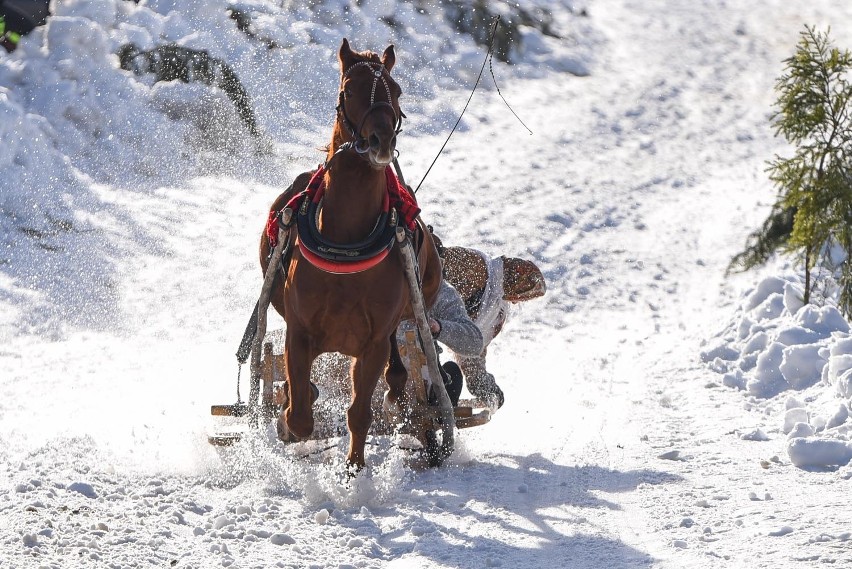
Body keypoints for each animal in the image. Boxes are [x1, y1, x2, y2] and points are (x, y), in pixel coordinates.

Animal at [258, 37, 446, 468]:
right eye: (348, 90)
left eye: (396, 91)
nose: (382, 141)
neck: (345, 241)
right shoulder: (299, 331)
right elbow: (300, 415)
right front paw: (288, 416)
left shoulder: (372, 342)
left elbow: (359, 412)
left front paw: (354, 469)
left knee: (398, 361)